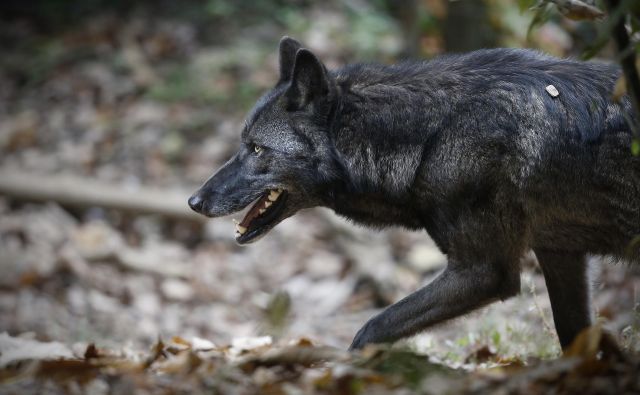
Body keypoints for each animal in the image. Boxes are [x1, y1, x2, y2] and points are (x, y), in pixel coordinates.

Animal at [189, 37, 640, 352]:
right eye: (242, 143)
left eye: (257, 149)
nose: (194, 201)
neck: (431, 135)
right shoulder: (562, 255)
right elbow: (575, 338)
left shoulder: (484, 271)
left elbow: (371, 329)